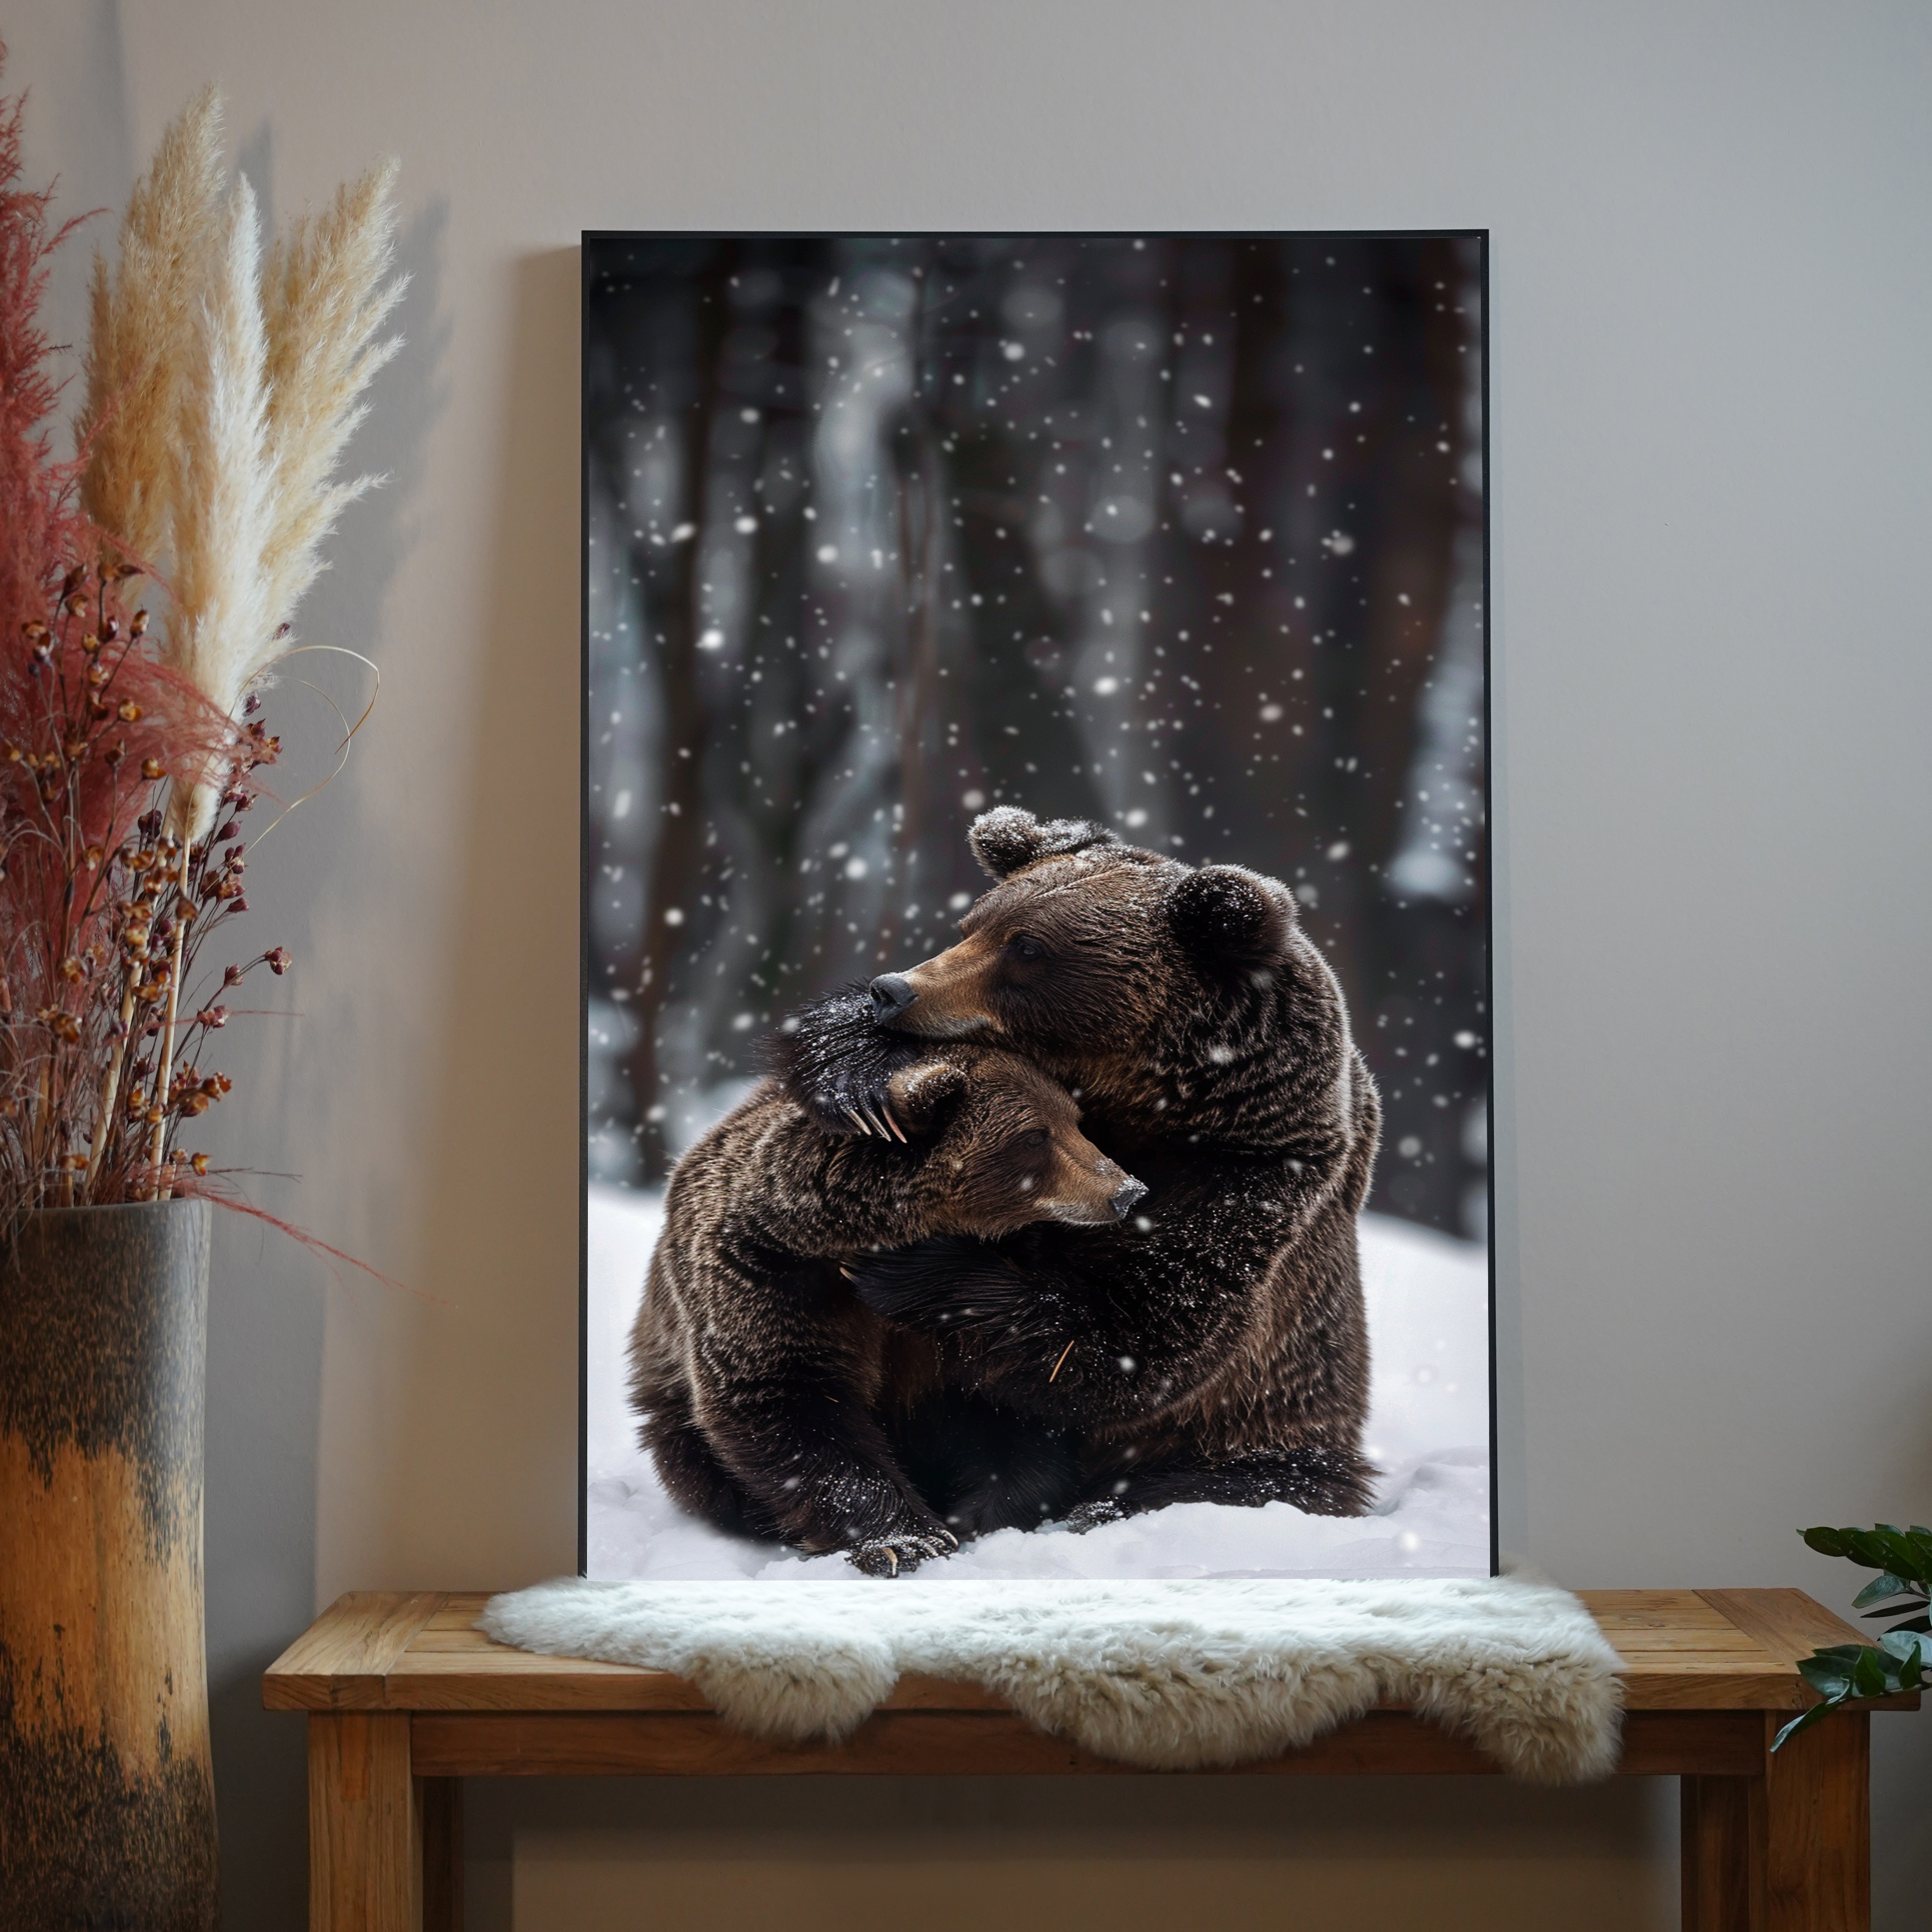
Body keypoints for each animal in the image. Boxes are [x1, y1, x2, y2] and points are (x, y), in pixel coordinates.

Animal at [627, 1016, 1146, 1576]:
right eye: (1034, 1136)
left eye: (1074, 1121)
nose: (1126, 1191)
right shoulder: (768, 1273)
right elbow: (790, 1400)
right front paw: (904, 1541)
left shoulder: (976, 1306)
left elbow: (1024, 1397)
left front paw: (982, 1514)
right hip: (670, 1403)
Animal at [782, 806, 1381, 1529]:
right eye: (972, 926)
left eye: (1028, 948)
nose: (893, 990)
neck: (1149, 1100)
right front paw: (865, 1084)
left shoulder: (1249, 1178)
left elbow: (1135, 1338)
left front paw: (916, 1264)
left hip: (1271, 1427)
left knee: (1236, 1478)